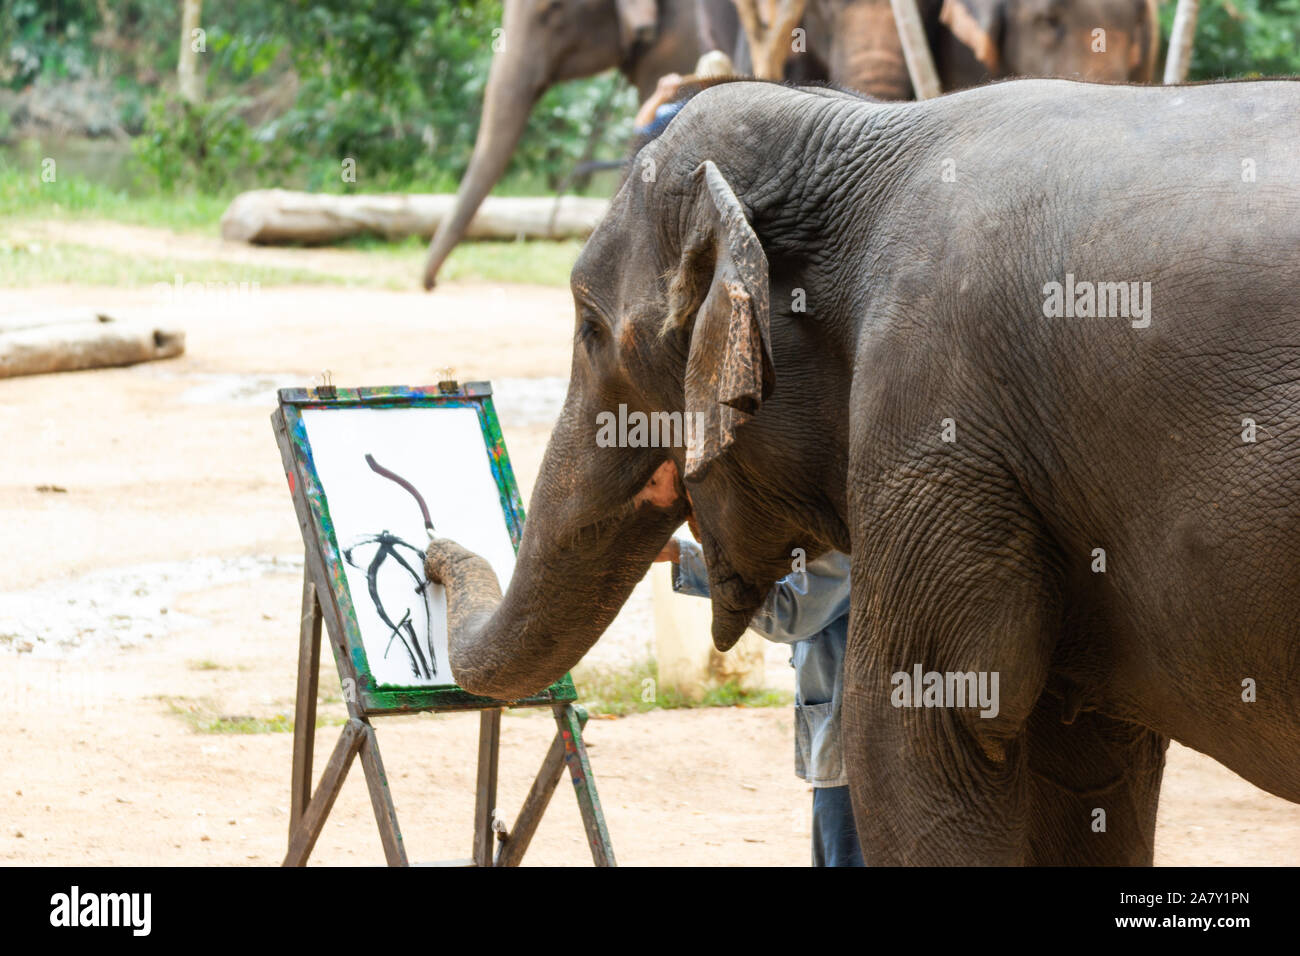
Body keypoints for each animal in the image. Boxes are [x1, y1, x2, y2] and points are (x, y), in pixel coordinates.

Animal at [428, 78, 1300, 863]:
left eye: (588, 327)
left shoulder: (937, 417)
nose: (435, 554)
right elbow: (1089, 772)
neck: (859, 132)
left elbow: (912, 736)